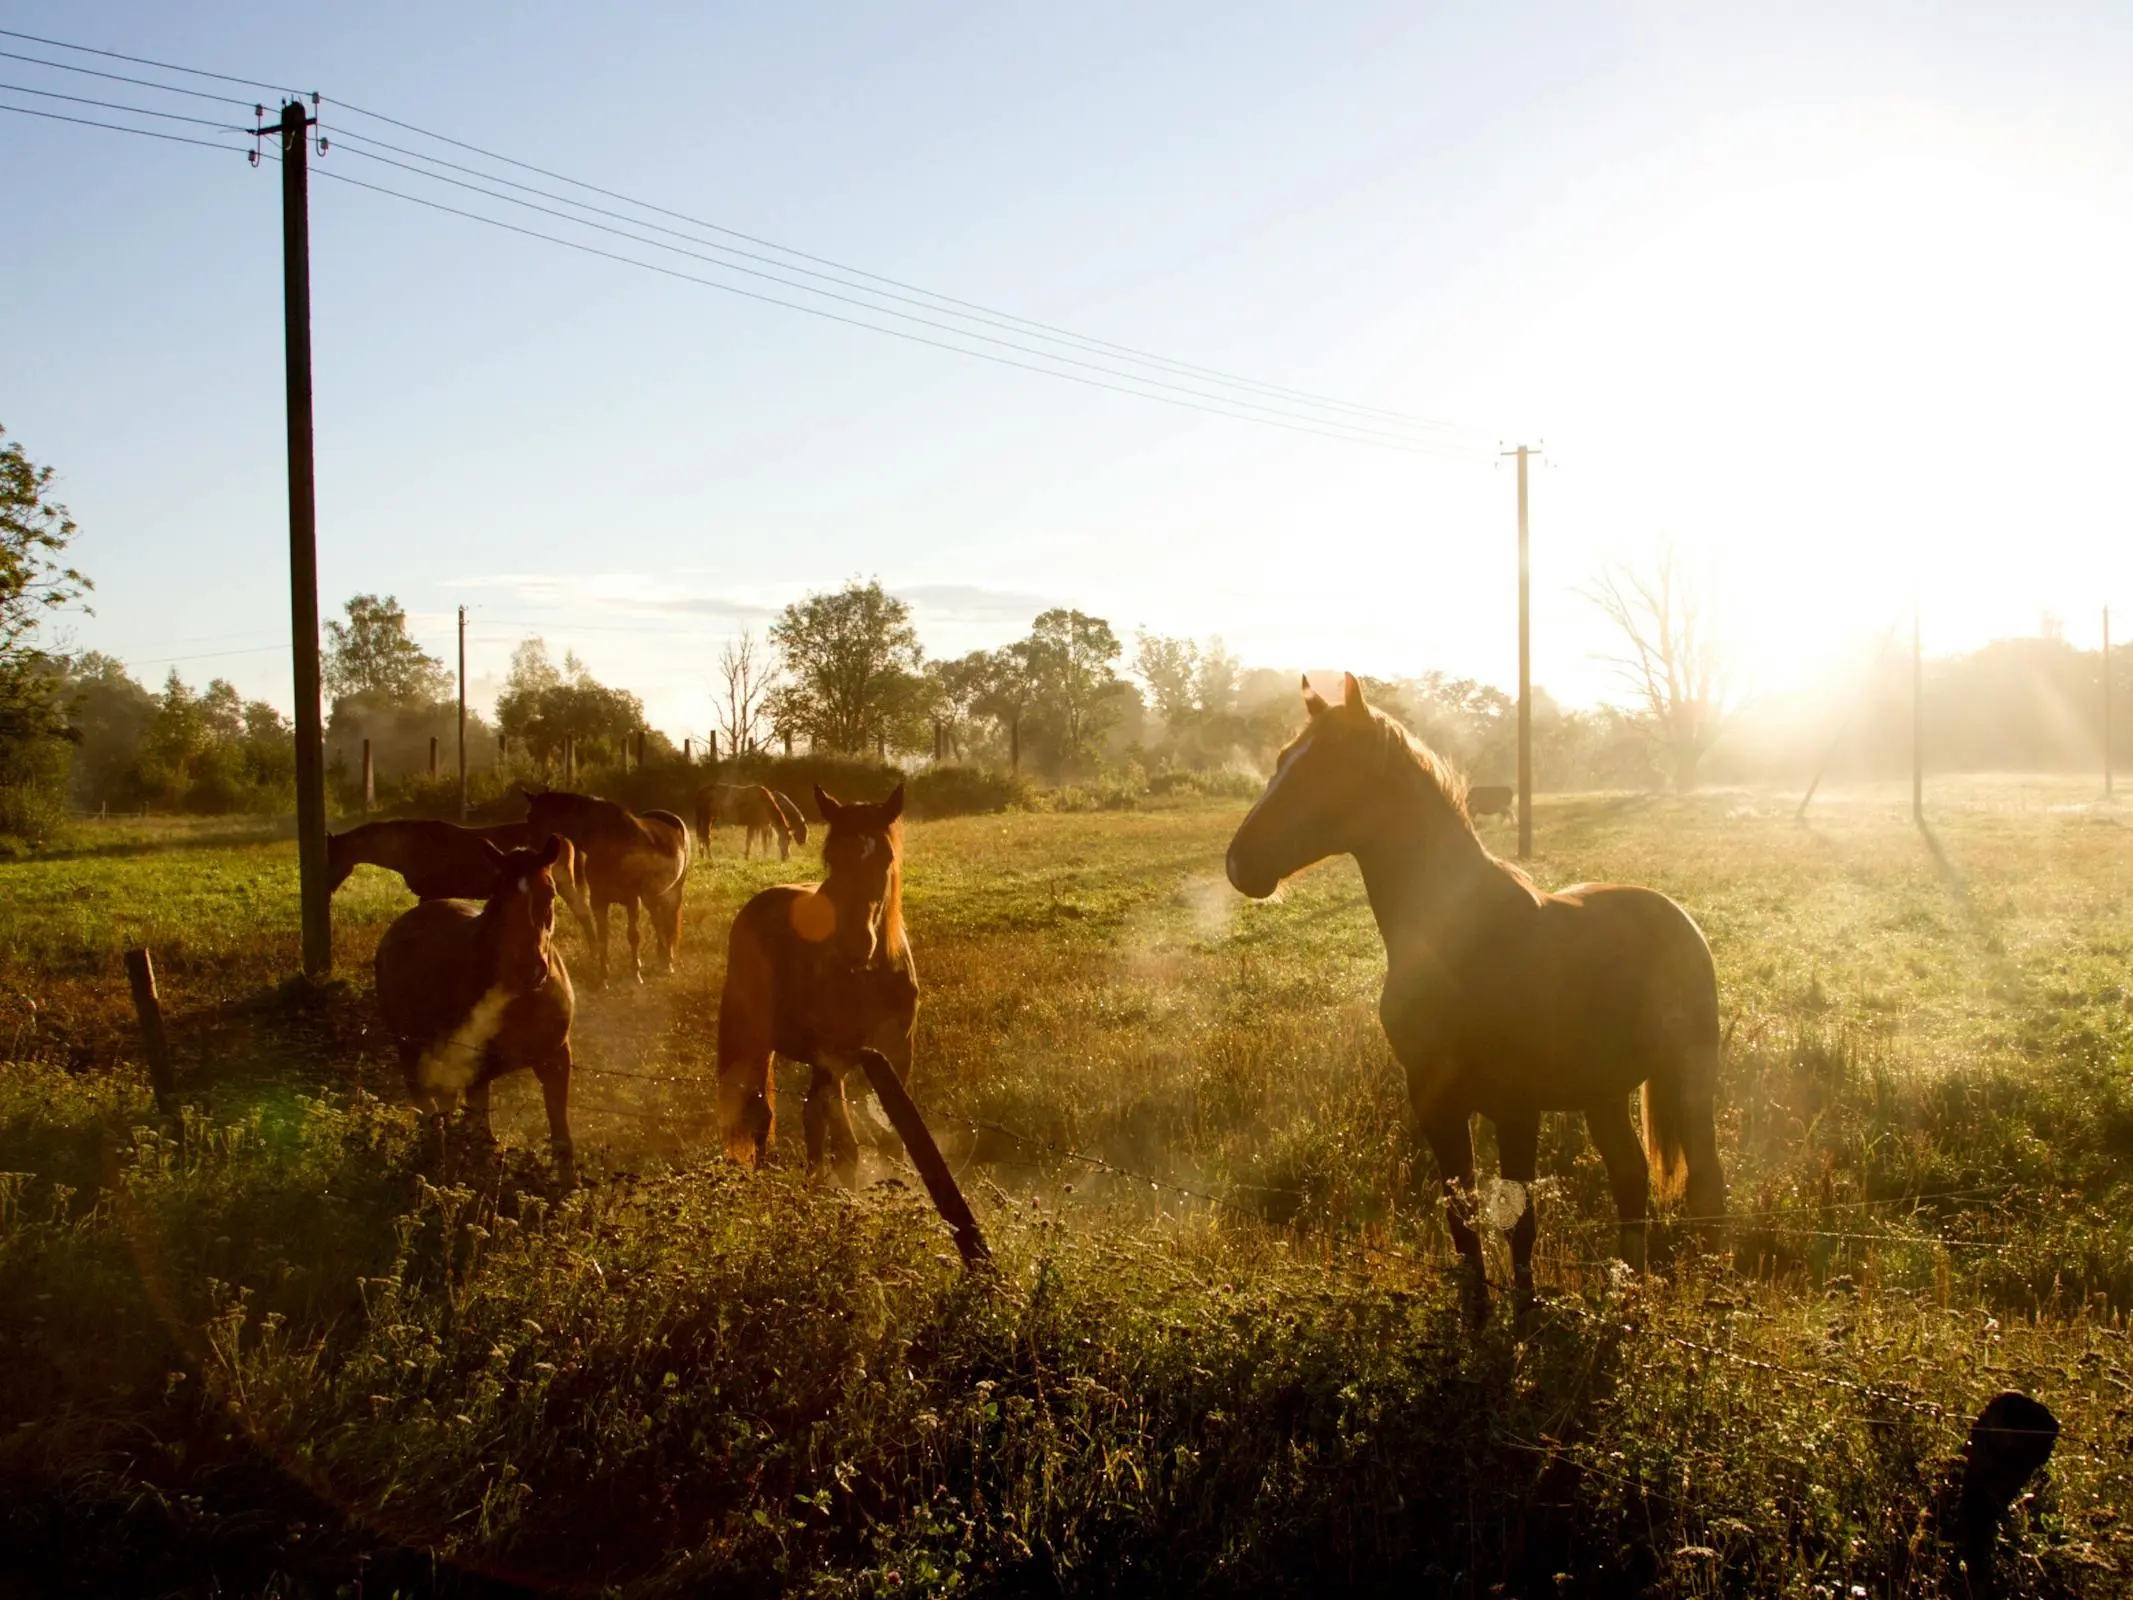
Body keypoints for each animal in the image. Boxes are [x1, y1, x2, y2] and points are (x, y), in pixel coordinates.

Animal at [324, 819, 597, 947]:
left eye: (333, 855)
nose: (327, 887)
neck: (408, 848)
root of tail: (567, 839)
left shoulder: (430, 893)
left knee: (585, 916)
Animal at [373, 832, 575, 1186]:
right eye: (499, 895)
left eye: (549, 892)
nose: (530, 969)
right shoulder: (477, 1070)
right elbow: (481, 1137)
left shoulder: (555, 1059)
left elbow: (561, 1136)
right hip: (410, 1050)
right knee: (429, 1110)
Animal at [514, 793, 686, 989]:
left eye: (531, 816)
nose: (531, 855)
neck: (610, 843)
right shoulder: (598, 901)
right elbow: (603, 938)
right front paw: (603, 978)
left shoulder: (632, 900)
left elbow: (633, 936)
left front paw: (636, 975)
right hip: (652, 896)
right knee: (659, 923)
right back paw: (663, 960)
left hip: (674, 891)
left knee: (669, 923)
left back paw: (668, 964)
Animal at [716, 785, 917, 1186]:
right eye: (832, 858)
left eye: (886, 857)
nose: (856, 944)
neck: (866, 976)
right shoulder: (832, 1057)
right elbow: (848, 1149)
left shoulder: (898, 1054)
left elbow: (892, 1142)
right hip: (759, 1044)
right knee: (763, 1114)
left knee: (810, 1116)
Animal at [1228, 669, 1723, 1305]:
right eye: (1283, 758)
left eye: (1329, 766)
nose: (1239, 863)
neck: (1463, 942)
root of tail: (1678, 916)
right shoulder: (1433, 1099)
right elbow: (1461, 1219)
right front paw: (1476, 1311)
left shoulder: (1517, 1106)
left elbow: (1520, 1223)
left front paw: (1524, 1312)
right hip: (1604, 1091)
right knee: (1630, 1176)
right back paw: (1625, 1289)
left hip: (1689, 1076)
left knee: (1706, 1184)